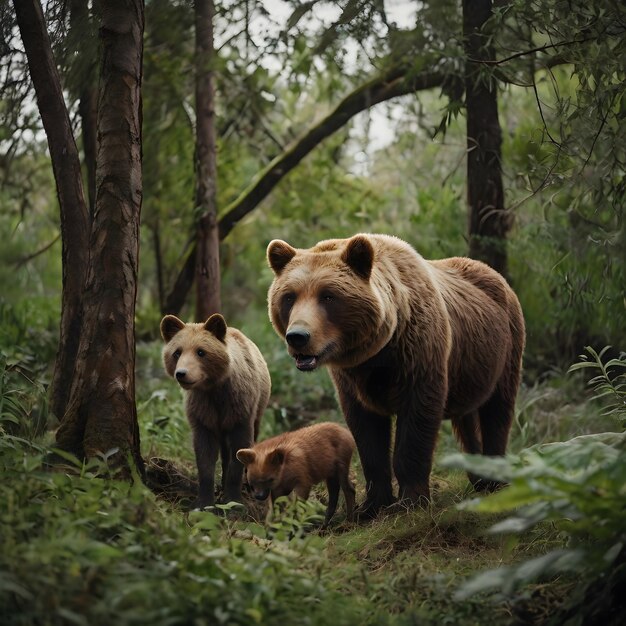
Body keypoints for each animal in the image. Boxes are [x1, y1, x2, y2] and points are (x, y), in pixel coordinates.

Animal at [266, 234, 524, 516]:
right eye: (289, 297)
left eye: (328, 296)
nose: (298, 337)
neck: (378, 351)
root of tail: (494, 273)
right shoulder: (353, 379)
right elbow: (367, 433)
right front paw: (372, 505)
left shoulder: (418, 356)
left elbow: (415, 423)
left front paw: (411, 500)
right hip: (468, 369)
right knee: (467, 418)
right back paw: (479, 477)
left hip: (504, 350)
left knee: (497, 411)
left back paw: (495, 480)